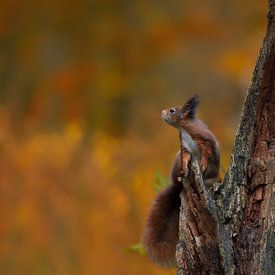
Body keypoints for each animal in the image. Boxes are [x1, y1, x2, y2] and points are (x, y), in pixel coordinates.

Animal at [142, 95, 220, 270]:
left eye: (172, 110)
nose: (162, 112)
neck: (183, 128)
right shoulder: (183, 147)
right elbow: (186, 158)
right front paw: (185, 169)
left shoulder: (204, 139)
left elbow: (207, 151)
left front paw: (203, 164)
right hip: (177, 160)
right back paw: (181, 174)